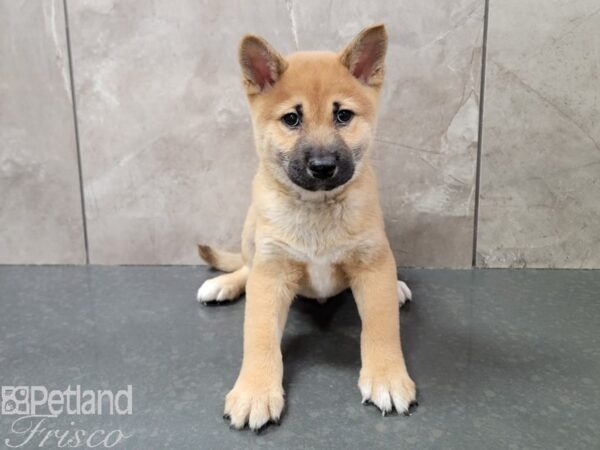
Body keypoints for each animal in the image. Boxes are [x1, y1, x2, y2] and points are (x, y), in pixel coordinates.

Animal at [197, 23, 418, 428]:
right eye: (291, 119)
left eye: (343, 116)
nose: (323, 166)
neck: (317, 209)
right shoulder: (271, 271)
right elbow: (259, 336)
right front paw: (255, 390)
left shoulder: (372, 261)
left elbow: (382, 327)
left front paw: (387, 376)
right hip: (251, 231)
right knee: (246, 267)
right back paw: (225, 283)